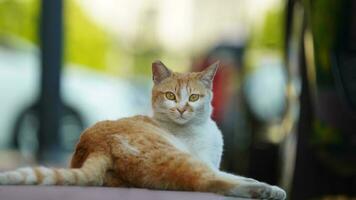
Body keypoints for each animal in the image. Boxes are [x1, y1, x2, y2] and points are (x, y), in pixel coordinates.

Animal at [0, 60, 286, 199]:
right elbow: (229, 177)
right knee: (209, 183)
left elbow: (239, 175)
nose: (182, 109)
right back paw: (266, 192)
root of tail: (96, 146)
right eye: (171, 96)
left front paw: (261, 181)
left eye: (194, 97)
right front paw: (267, 186)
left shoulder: (214, 163)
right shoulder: (203, 161)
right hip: (177, 157)